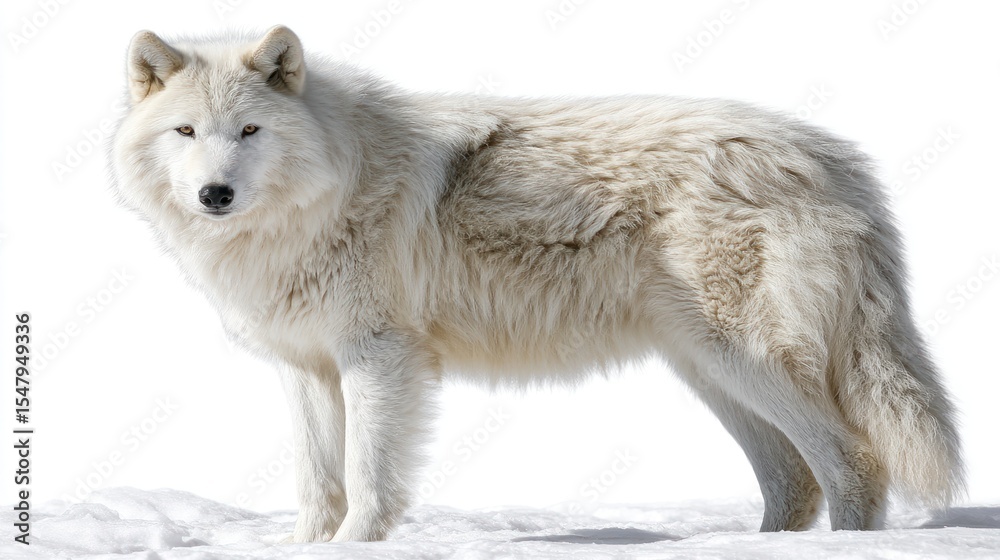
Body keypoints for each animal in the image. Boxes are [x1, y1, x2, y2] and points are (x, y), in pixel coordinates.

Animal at [110, 25, 964, 542]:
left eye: (250, 131)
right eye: (186, 132)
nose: (214, 194)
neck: (325, 192)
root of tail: (831, 157)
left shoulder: (379, 358)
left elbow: (365, 477)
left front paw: (356, 546)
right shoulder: (308, 366)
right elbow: (318, 481)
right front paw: (310, 548)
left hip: (749, 359)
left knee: (854, 464)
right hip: (713, 370)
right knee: (794, 483)